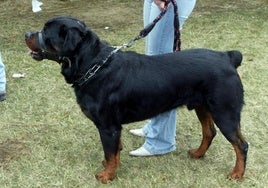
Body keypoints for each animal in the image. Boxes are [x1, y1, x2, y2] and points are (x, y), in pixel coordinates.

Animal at [24, 16, 248, 184]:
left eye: (46, 32)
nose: (26, 34)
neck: (93, 65)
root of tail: (227, 57)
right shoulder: (113, 127)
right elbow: (114, 151)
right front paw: (111, 167)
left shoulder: (108, 126)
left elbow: (110, 152)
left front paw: (106, 176)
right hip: (203, 106)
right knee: (209, 132)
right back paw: (198, 153)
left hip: (225, 111)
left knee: (241, 145)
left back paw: (237, 173)